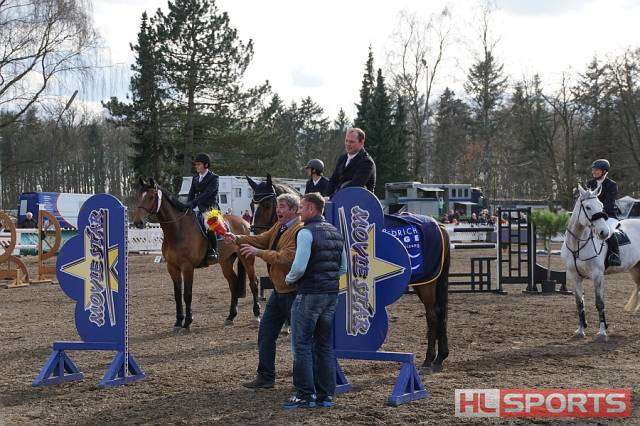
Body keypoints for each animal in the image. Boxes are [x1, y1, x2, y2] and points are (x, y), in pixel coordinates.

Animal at [133, 178, 261, 331]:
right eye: (138, 196)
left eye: (151, 197)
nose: (138, 222)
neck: (177, 229)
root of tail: (245, 223)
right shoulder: (172, 267)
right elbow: (177, 294)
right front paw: (178, 322)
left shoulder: (187, 267)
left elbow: (187, 294)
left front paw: (187, 322)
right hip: (226, 261)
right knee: (233, 283)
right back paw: (230, 317)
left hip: (246, 258)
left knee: (254, 283)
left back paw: (257, 315)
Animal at [246, 174, 450, 373]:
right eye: (251, 205)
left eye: (267, 204)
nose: (256, 234)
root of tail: (438, 224)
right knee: (439, 313)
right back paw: (440, 358)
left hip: (427, 283)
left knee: (432, 315)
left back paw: (429, 360)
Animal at [561, 184, 640, 342]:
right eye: (588, 207)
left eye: (601, 205)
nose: (604, 232)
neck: (577, 245)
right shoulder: (574, 276)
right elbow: (579, 303)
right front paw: (580, 330)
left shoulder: (597, 276)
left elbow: (600, 303)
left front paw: (602, 333)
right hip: (635, 269)